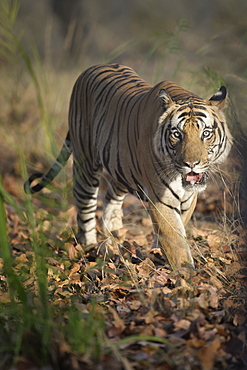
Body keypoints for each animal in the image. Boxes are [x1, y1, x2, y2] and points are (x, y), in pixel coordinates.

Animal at [24, 63, 233, 270]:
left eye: (206, 133)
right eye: (177, 134)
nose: (191, 164)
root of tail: (90, 69)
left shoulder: (189, 199)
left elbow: (178, 227)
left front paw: (158, 252)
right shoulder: (161, 200)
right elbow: (175, 240)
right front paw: (185, 274)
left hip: (121, 169)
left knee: (111, 197)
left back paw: (113, 238)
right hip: (86, 164)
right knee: (85, 207)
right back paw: (90, 247)